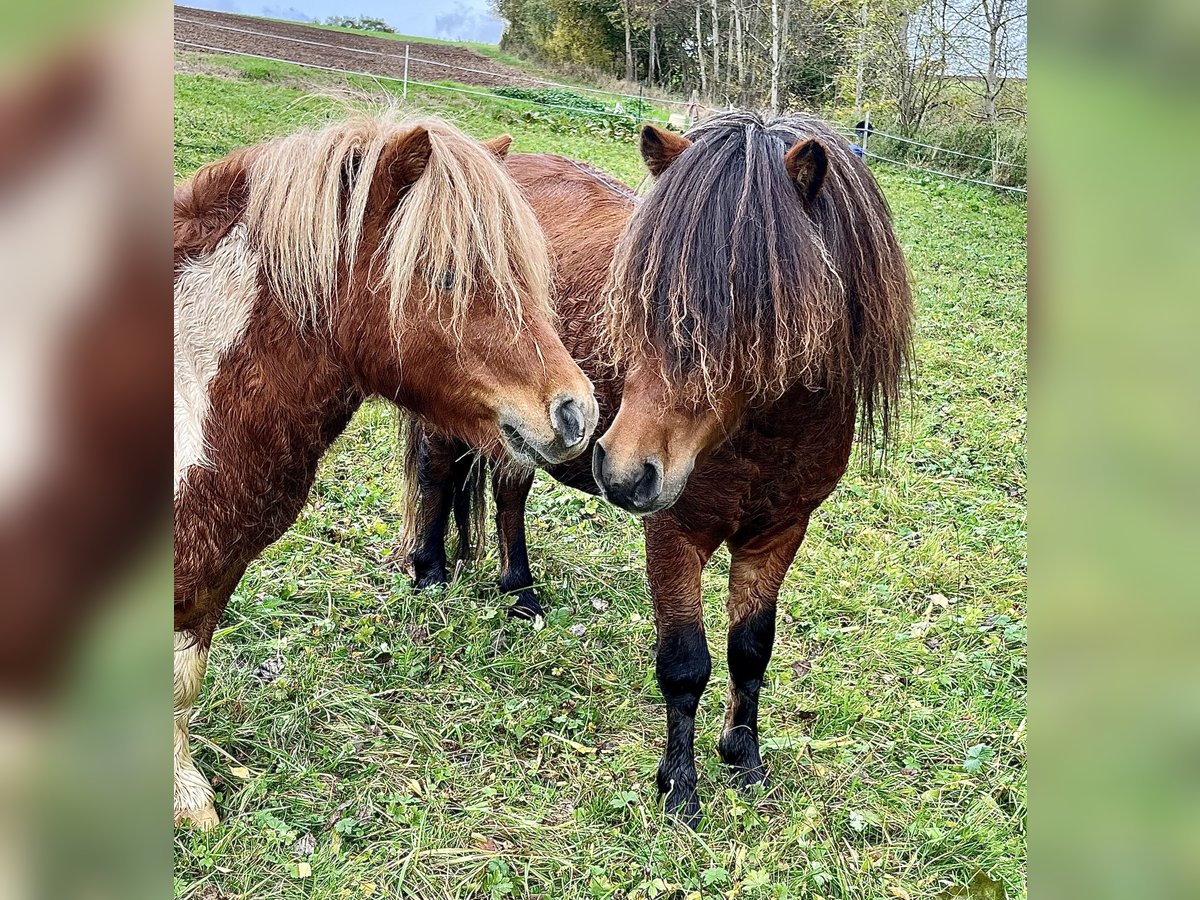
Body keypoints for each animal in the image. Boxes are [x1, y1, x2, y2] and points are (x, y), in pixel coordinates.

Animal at [403, 114, 907, 830]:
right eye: (640, 296)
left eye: (756, 309)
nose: (621, 469)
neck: (765, 437)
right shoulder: (674, 532)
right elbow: (685, 663)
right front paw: (680, 789)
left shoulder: (779, 533)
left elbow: (751, 648)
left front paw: (744, 760)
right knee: (436, 470)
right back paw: (430, 574)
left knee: (508, 491)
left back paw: (521, 593)